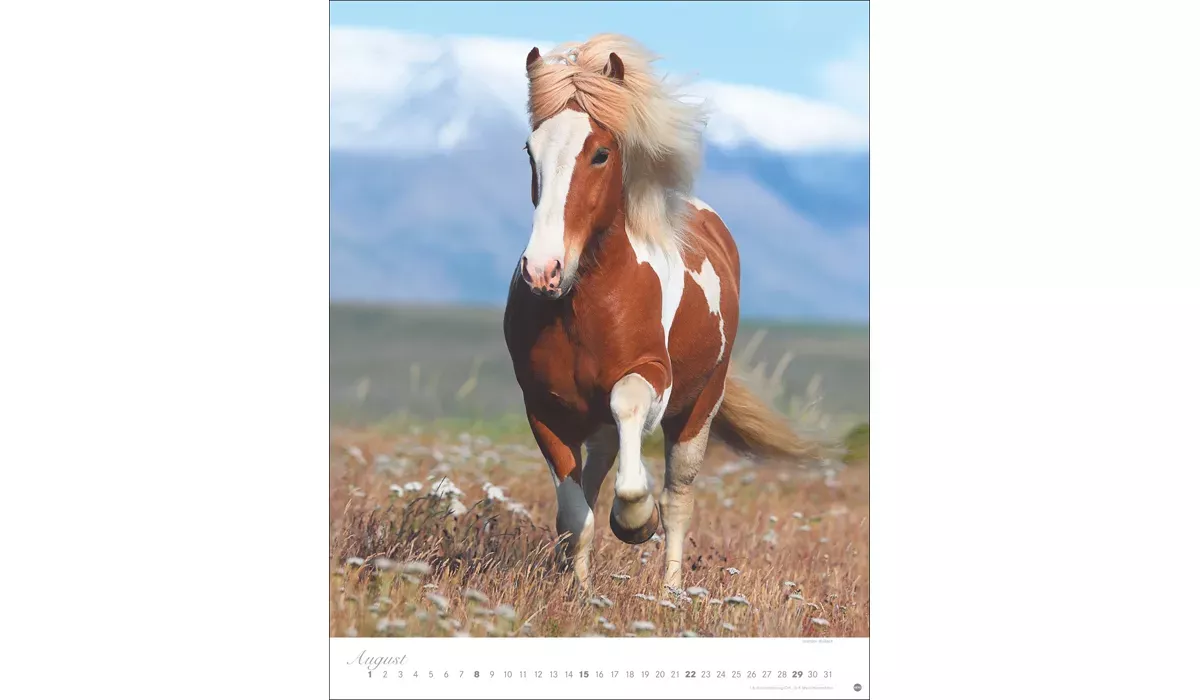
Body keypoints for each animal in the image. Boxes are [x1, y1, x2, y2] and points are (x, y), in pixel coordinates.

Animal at [503, 34, 813, 593]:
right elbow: (573, 508)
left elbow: (628, 416)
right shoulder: (542, 406)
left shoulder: (652, 377)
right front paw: (576, 585)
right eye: (529, 151)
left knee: (678, 499)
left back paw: (670, 589)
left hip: (699, 410)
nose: (542, 271)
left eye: (601, 153)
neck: (582, 307)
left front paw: (633, 520)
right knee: (595, 478)